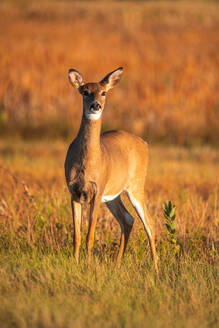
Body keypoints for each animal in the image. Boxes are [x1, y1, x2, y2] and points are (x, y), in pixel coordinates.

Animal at [64, 66, 158, 272]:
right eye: (85, 92)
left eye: (104, 92)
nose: (96, 106)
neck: (88, 162)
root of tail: (145, 144)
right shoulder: (73, 191)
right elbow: (77, 235)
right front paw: (75, 264)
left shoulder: (97, 190)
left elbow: (90, 236)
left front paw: (87, 265)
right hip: (113, 195)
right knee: (128, 220)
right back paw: (117, 264)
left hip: (136, 185)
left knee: (149, 223)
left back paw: (156, 268)